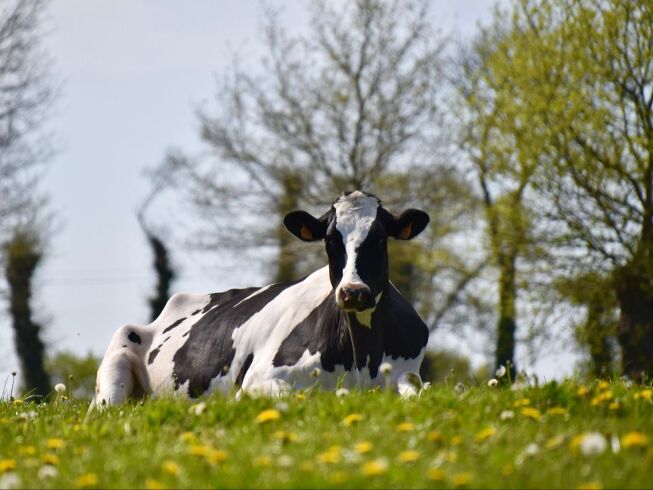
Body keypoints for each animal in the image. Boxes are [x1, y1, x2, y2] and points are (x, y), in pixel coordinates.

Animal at [89, 191, 430, 410]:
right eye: (331, 240)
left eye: (381, 238)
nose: (353, 291)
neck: (362, 357)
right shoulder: (258, 381)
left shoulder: (408, 373)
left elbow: (420, 392)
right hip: (115, 366)